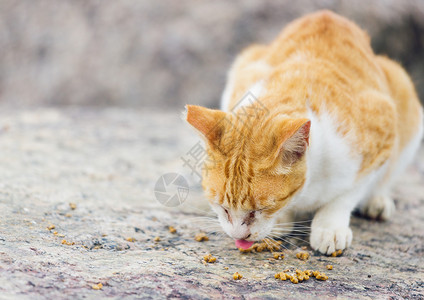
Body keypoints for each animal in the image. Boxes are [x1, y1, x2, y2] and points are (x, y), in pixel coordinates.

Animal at [184, 10, 422, 254]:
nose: (239, 237)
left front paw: (329, 227)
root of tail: (327, 14)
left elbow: (346, 195)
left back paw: (377, 201)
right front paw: (282, 221)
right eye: (223, 208)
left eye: (260, 210)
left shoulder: (381, 136)